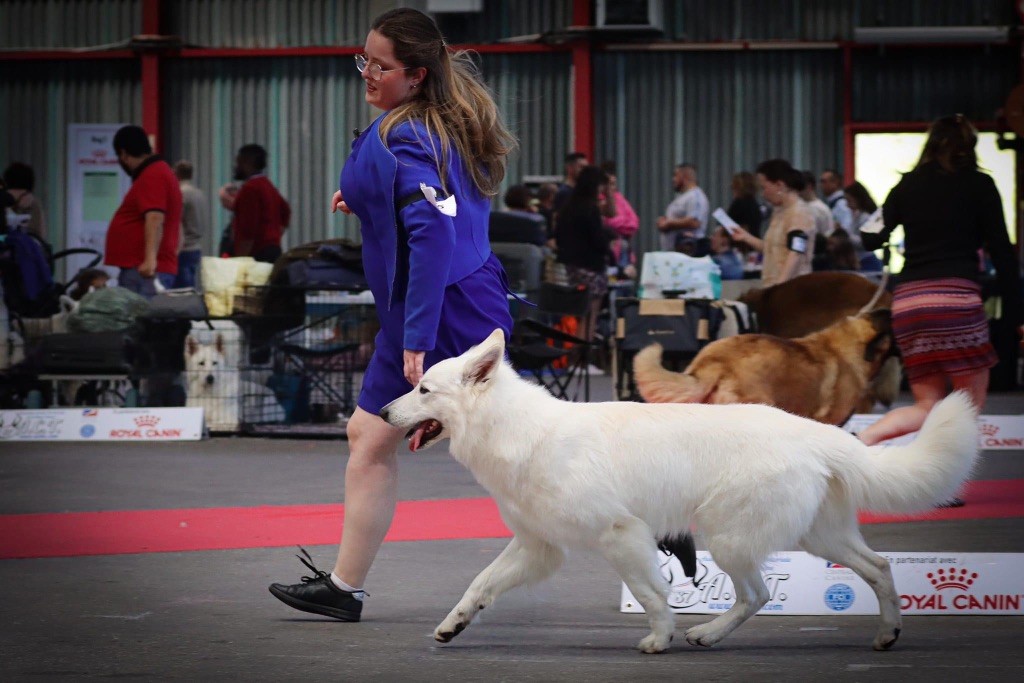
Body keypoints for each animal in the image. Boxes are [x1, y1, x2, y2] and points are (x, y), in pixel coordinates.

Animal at [380, 331, 978, 655]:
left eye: (422, 389)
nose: (383, 412)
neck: (518, 430)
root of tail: (817, 432)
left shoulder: (622, 535)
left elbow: (650, 594)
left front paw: (660, 638)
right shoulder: (536, 546)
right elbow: (480, 583)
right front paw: (454, 625)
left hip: (730, 537)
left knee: (758, 595)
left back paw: (706, 634)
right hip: (817, 536)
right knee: (877, 565)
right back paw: (888, 634)